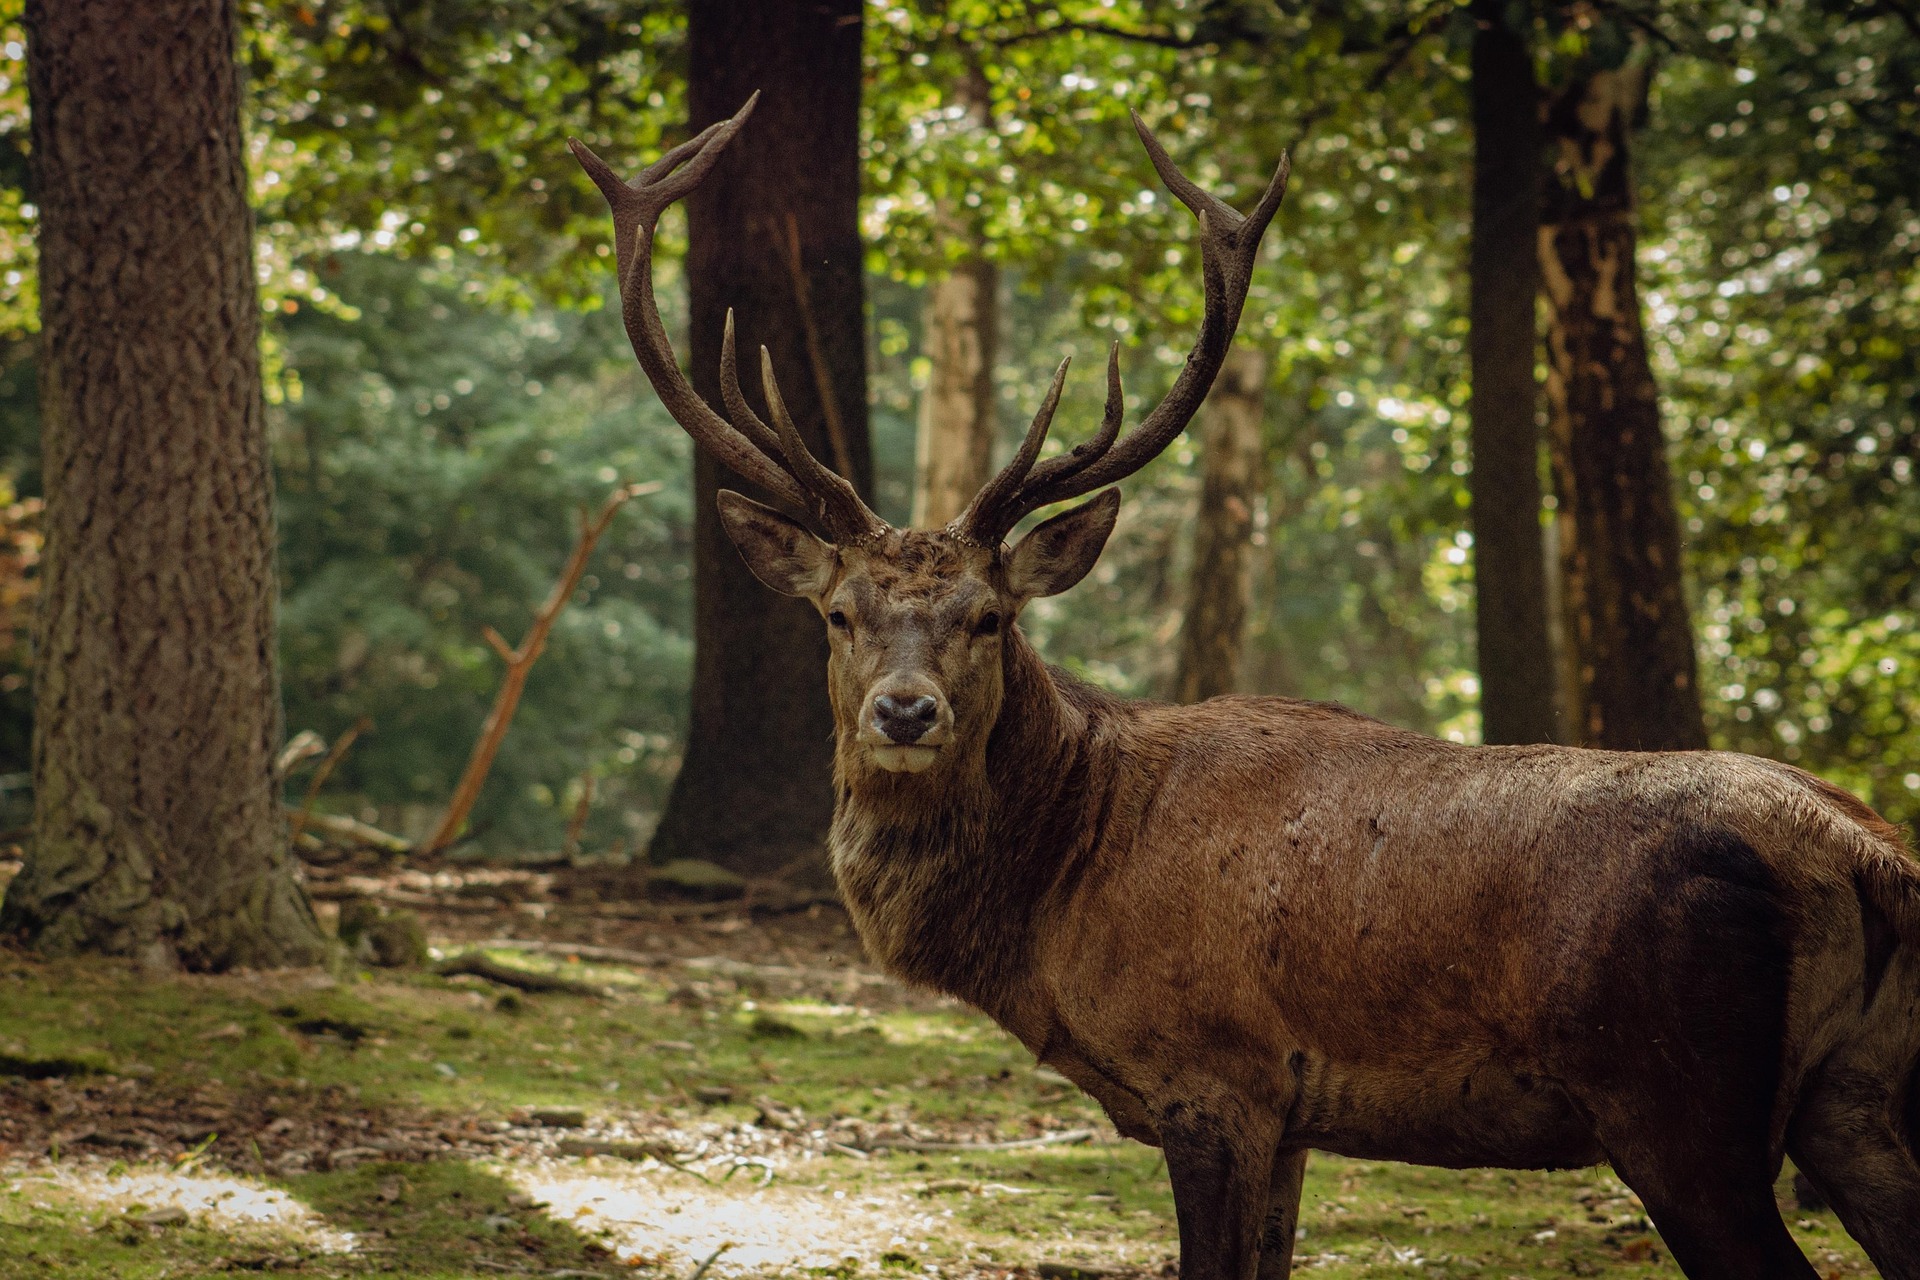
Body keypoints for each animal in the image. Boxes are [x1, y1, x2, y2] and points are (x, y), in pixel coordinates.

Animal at [571, 95, 1920, 1280]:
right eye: (839, 613)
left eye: (990, 617)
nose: (906, 712)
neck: (1060, 893)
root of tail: (1867, 855)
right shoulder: (1293, 1112)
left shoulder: (1212, 1073)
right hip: (1857, 1099)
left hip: (1680, 1103)